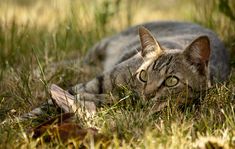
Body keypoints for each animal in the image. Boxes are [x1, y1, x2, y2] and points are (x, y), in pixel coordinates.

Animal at [21, 21, 230, 118]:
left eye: (171, 81)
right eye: (144, 75)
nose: (147, 94)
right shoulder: (93, 82)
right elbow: (43, 107)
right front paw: (19, 122)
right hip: (96, 52)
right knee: (72, 62)